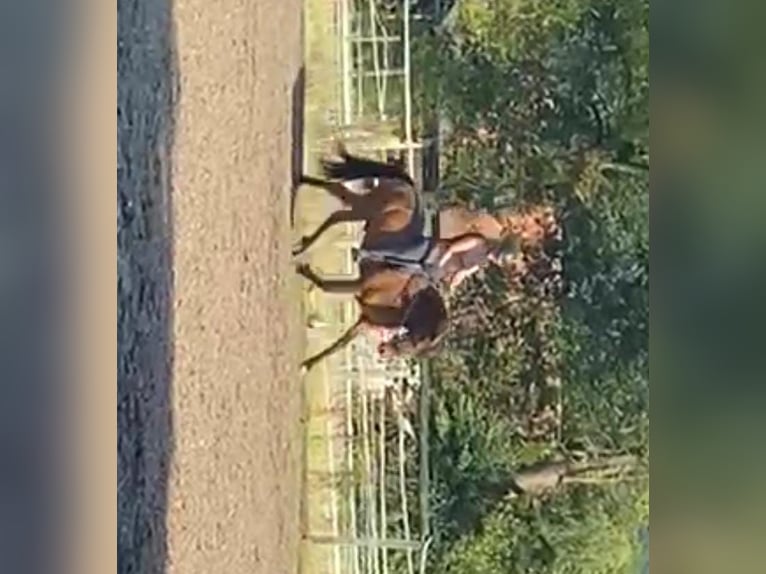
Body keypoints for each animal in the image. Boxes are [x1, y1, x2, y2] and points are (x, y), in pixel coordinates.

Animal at [296, 260, 450, 376]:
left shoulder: (362, 323)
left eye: (417, 350)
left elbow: (337, 346)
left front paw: (307, 364)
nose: (383, 352)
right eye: (416, 342)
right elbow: (325, 286)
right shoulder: (360, 287)